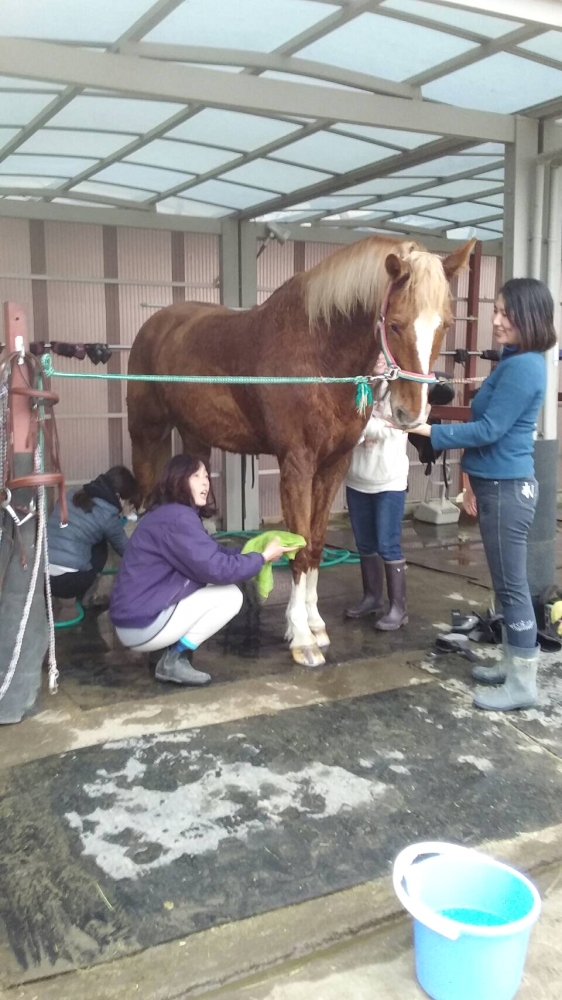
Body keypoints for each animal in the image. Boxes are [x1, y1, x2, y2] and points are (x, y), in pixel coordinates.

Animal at [127, 234, 474, 667]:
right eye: (394, 324)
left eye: (446, 324)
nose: (411, 413)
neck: (318, 352)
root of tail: (157, 323)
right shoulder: (297, 464)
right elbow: (298, 546)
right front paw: (301, 638)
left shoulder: (334, 465)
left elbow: (317, 544)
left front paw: (315, 625)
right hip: (147, 433)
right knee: (141, 502)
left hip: (195, 438)